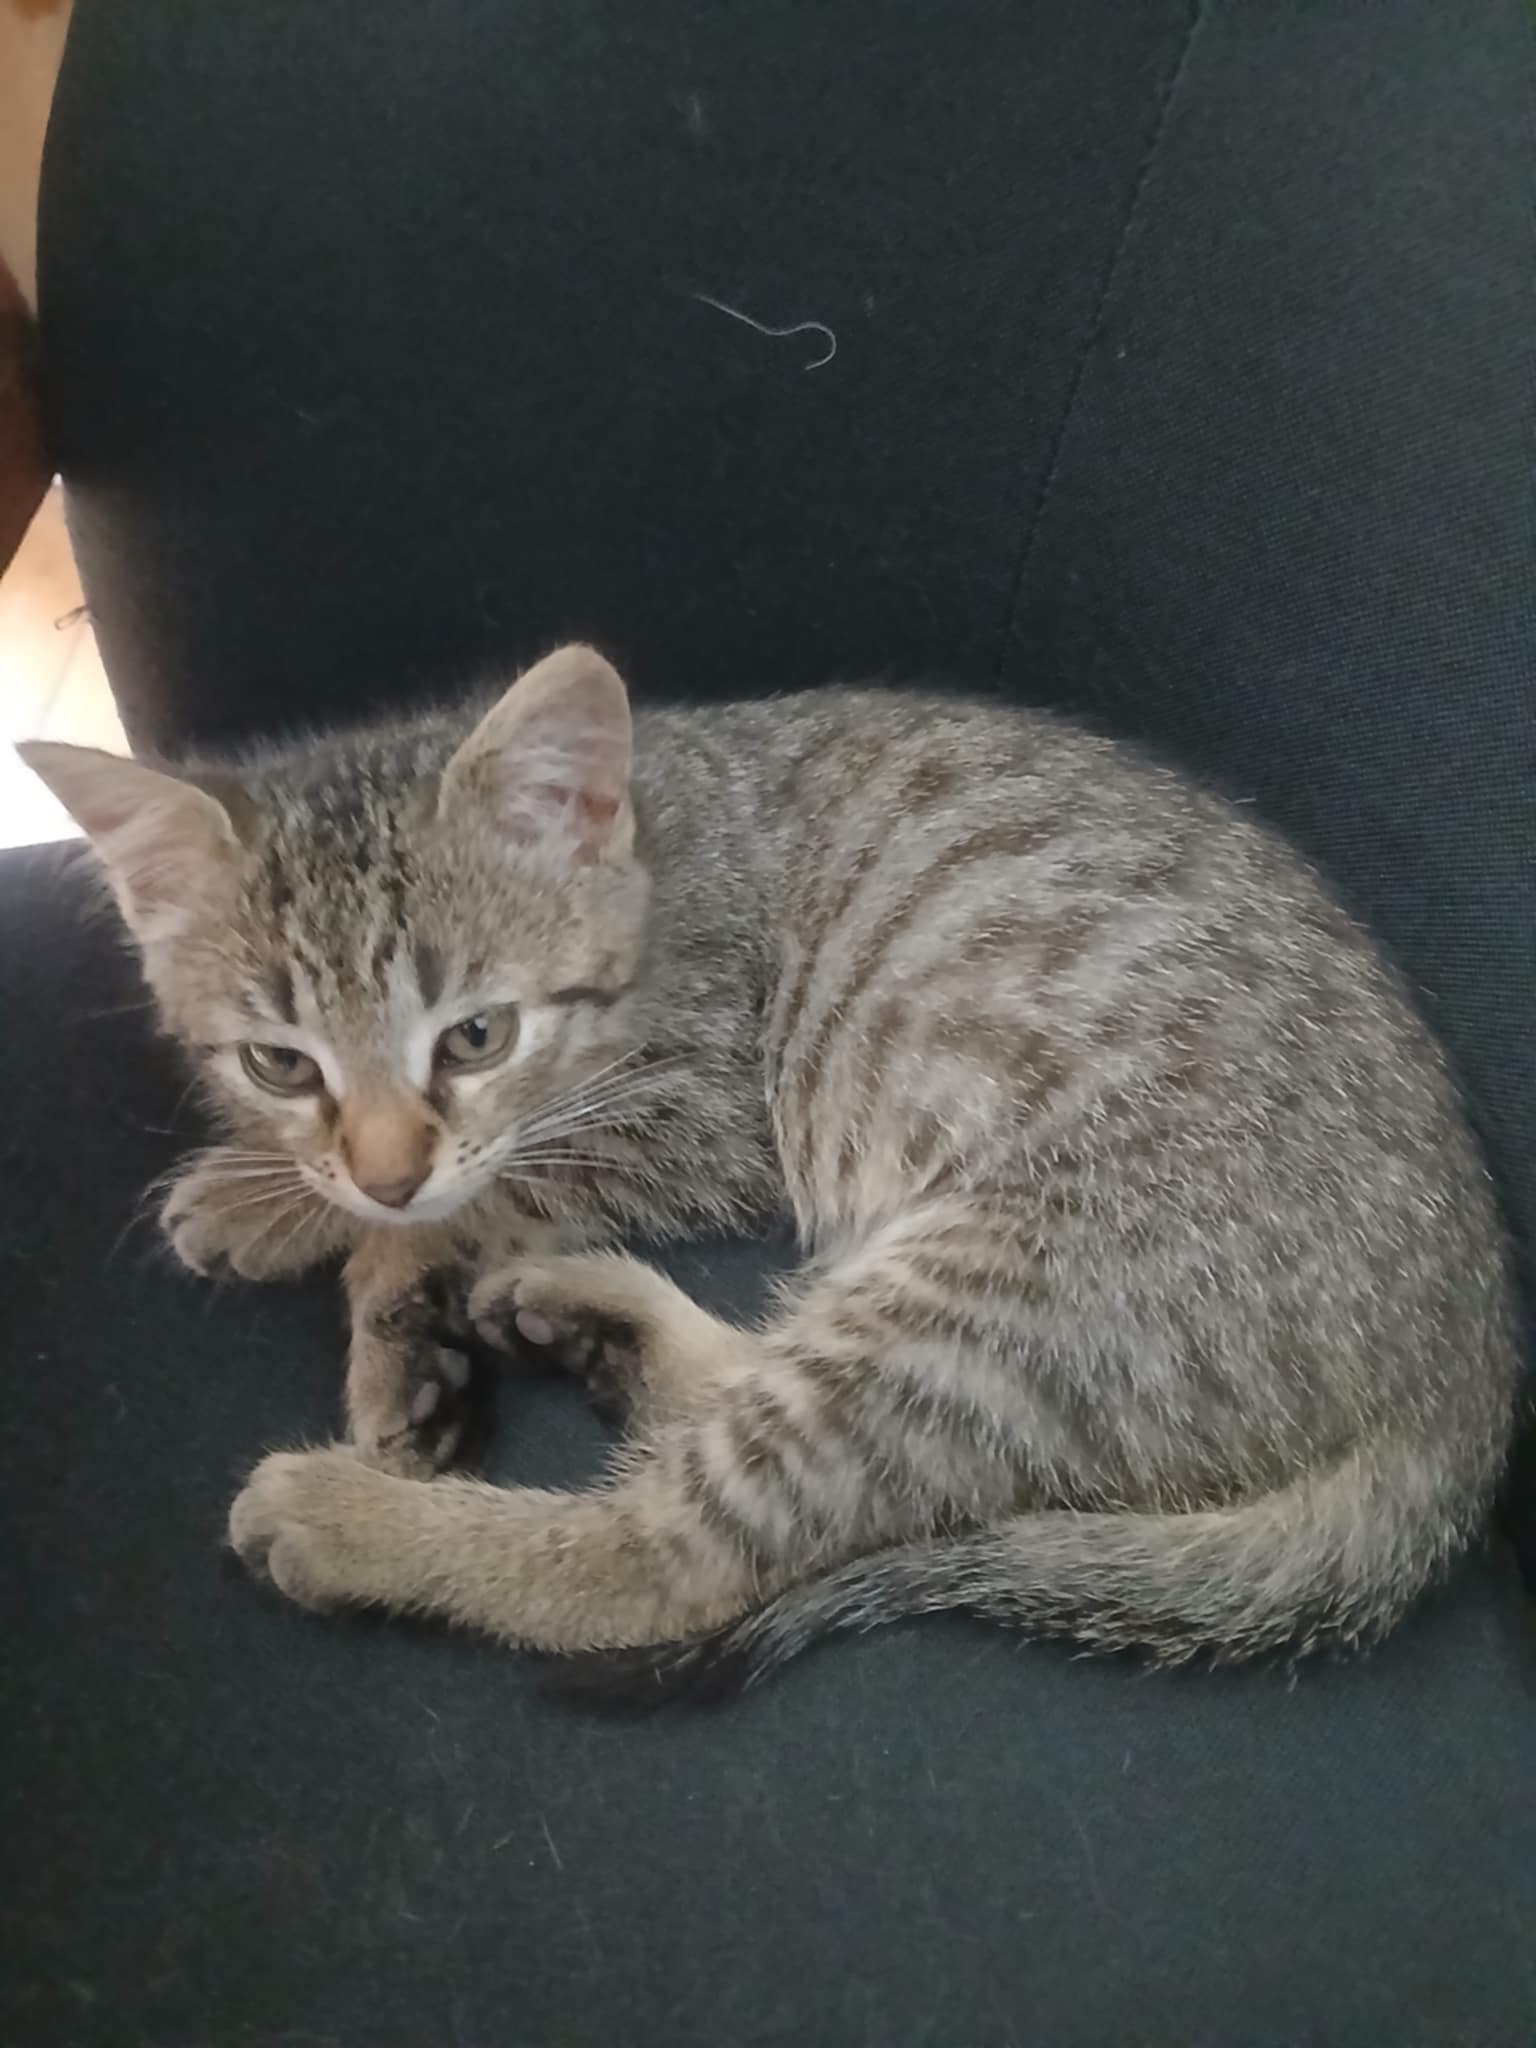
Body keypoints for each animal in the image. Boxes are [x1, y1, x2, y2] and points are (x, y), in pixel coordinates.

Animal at [21, 644, 1520, 1698]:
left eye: (477, 1035)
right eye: (280, 1063)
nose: (383, 1173)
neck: (655, 848)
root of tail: (1467, 1379)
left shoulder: (701, 1108)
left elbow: (500, 1175)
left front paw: (387, 1307)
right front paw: (271, 1195)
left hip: (1025, 1283)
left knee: (672, 1554)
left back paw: (350, 1517)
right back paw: (582, 1319)